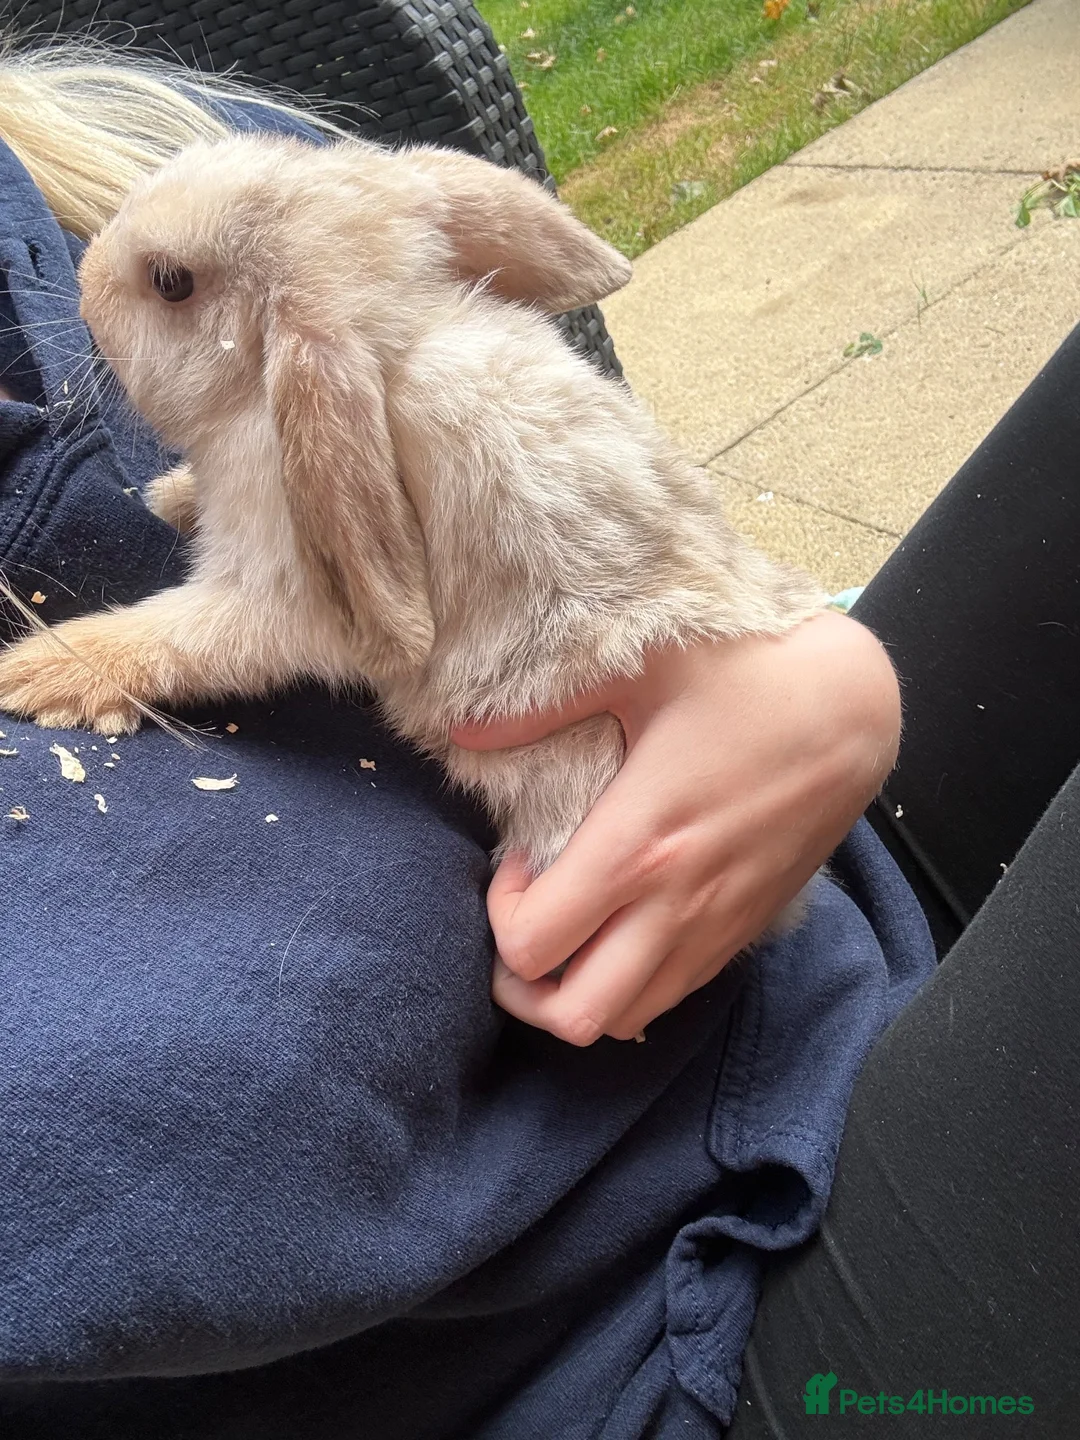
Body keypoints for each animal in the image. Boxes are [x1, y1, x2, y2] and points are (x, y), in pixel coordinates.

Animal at [0, 134, 825, 879]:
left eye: (172, 281)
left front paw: (35, 673)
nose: (82, 278)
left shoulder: (279, 597)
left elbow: (176, 637)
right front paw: (168, 494)